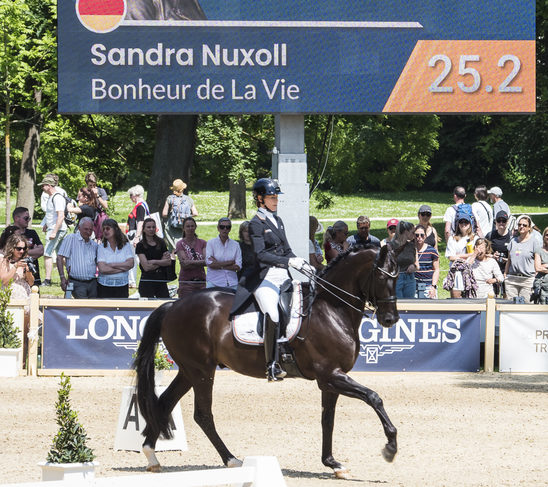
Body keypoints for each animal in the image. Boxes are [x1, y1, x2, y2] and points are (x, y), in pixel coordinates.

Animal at [133, 243, 398, 476]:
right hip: (201, 371)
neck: (331, 309)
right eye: (382, 277)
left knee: (164, 403)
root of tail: (172, 306)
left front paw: (333, 463)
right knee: (202, 414)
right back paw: (232, 460)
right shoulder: (331, 375)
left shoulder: (330, 380)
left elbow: (328, 420)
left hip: (189, 371)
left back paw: (151, 455)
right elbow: (374, 397)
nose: (390, 320)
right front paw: (390, 447)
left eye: (397, 277)